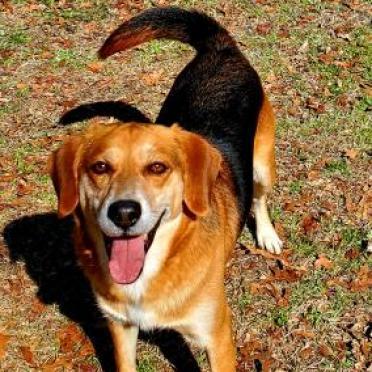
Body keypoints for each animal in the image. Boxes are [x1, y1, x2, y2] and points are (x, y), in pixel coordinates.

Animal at [49, 6, 282, 372]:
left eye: (157, 168)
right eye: (100, 167)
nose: (124, 212)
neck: (150, 275)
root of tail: (221, 47)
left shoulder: (216, 337)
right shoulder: (121, 328)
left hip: (262, 165)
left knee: (259, 199)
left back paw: (268, 236)